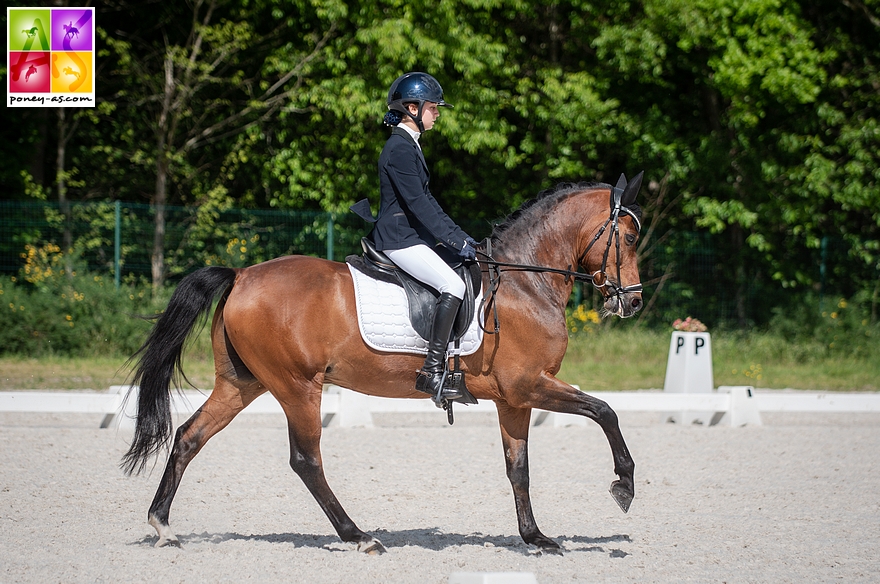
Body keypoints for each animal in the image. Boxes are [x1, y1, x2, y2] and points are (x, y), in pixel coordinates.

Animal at [122, 172, 648, 552]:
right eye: (626, 237)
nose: (633, 302)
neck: (525, 282)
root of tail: (242, 274)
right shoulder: (528, 385)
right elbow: (605, 411)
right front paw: (623, 485)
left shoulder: (512, 398)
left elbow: (518, 468)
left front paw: (535, 537)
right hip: (297, 386)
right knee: (306, 460)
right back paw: (359, 536)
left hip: (242, 383)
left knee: (189, 437)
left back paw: (162, 525)